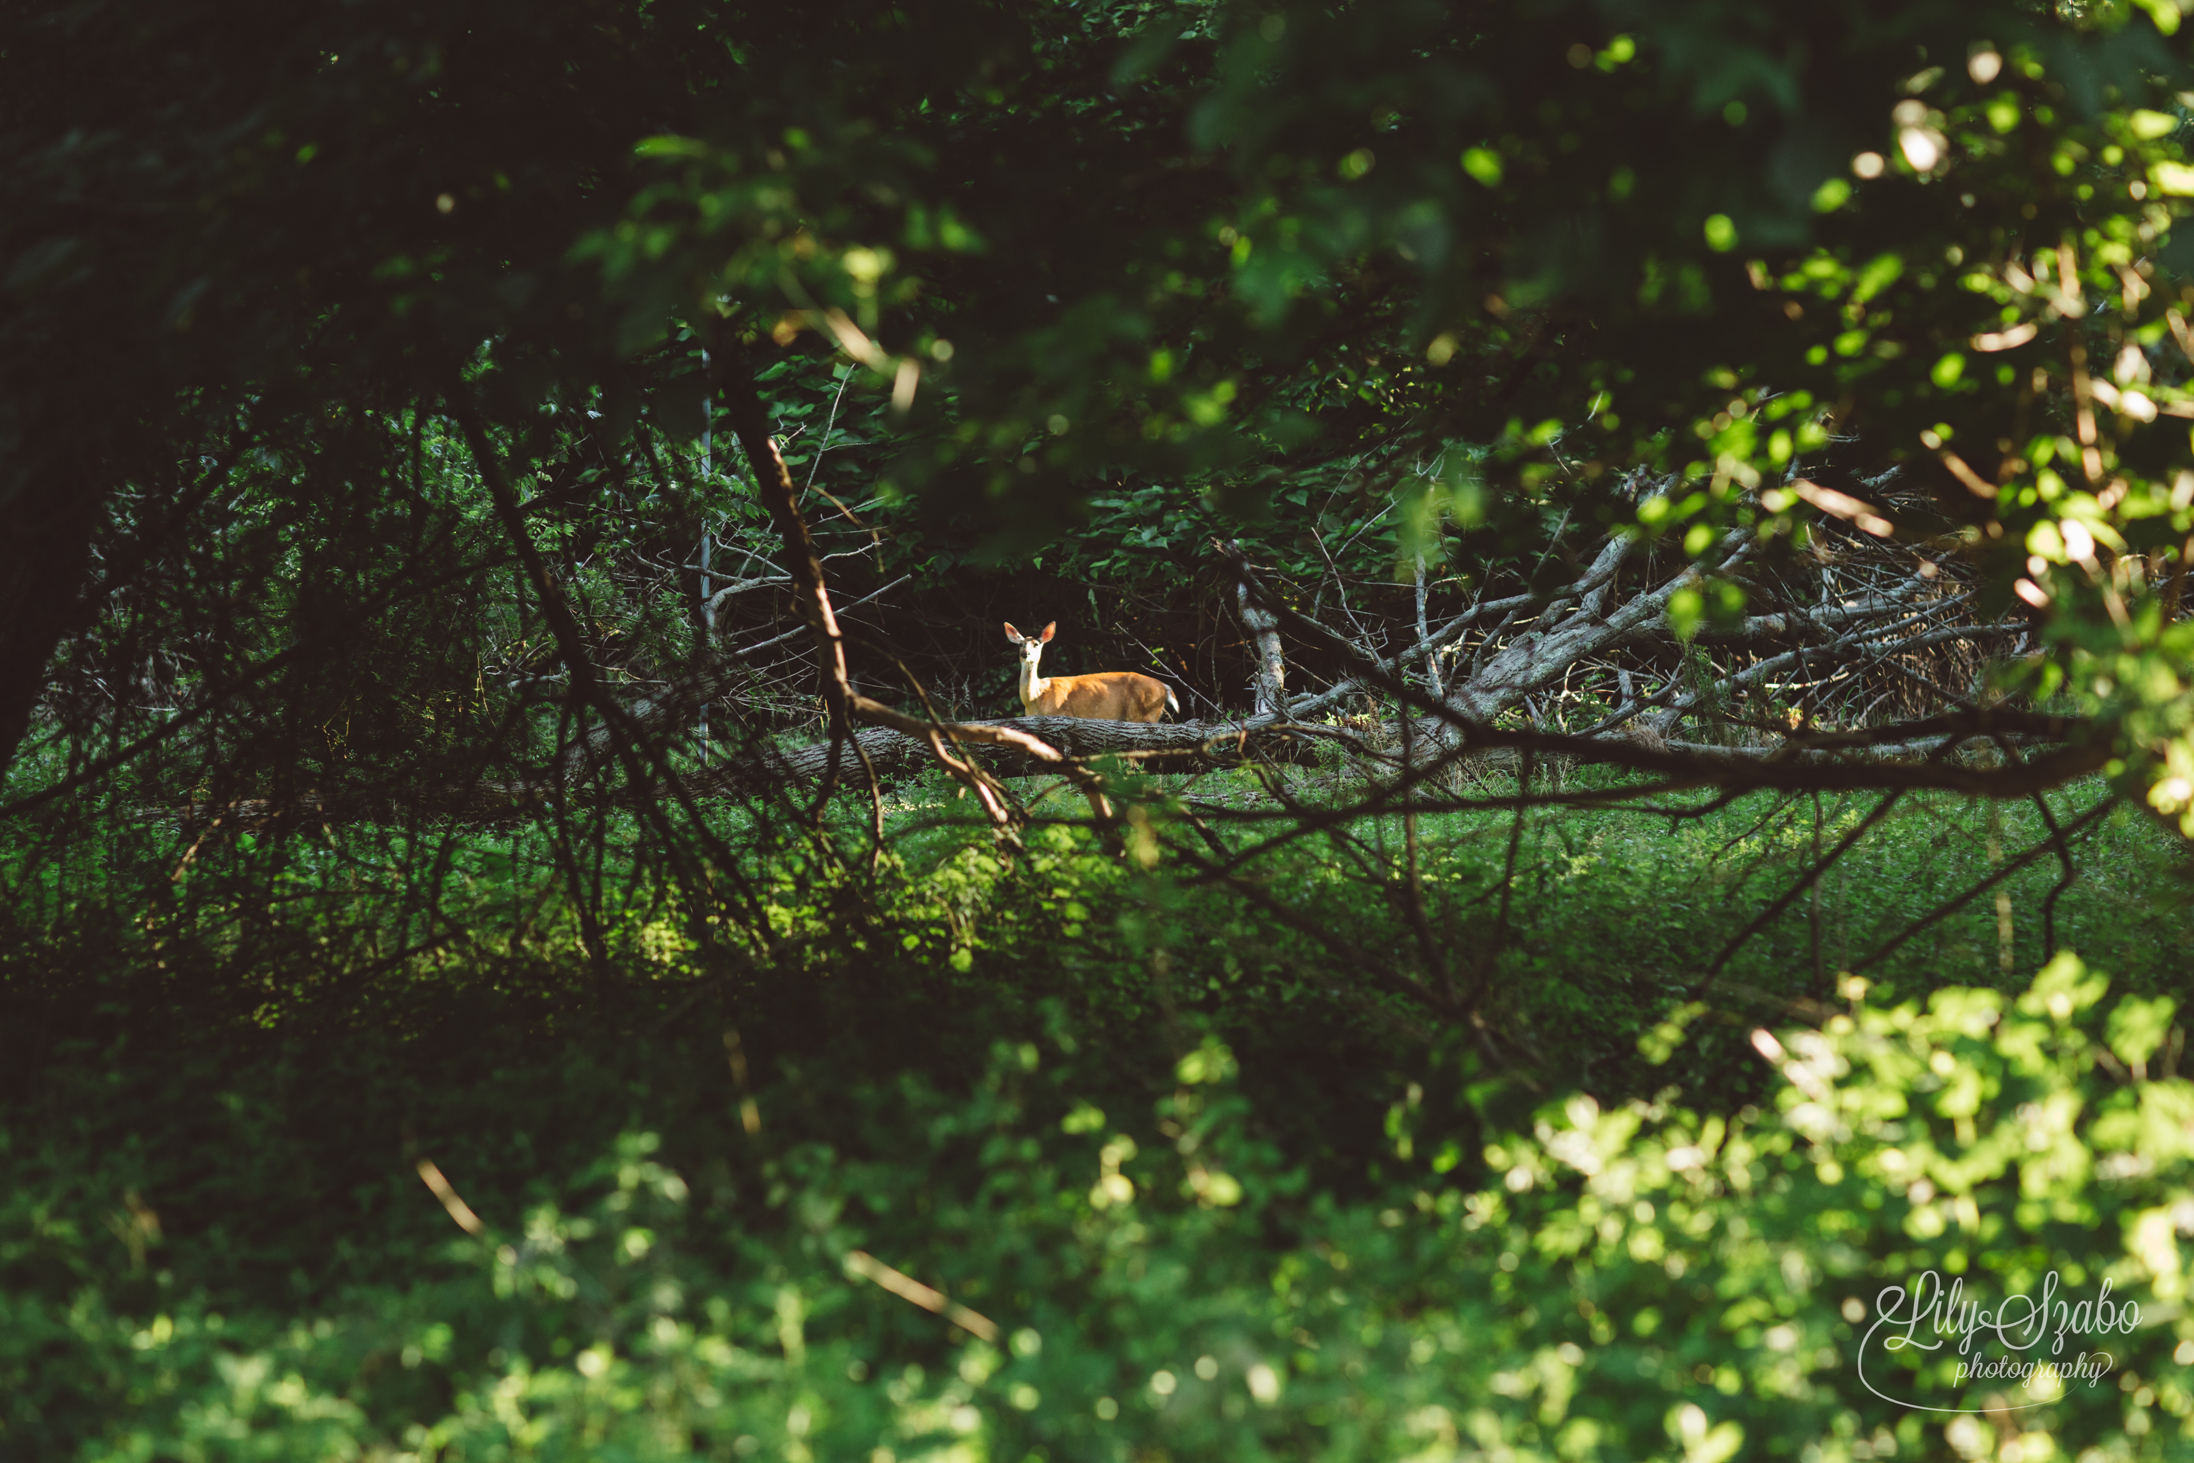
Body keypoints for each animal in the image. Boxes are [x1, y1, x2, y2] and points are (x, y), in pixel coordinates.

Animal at [1004, 622, 1184, 723]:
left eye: (1036, 644)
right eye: (1020, 644)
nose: (1025, 653)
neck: (1035, 698)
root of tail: (1165, 687)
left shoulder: (1061, 713)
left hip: (1143, 711)